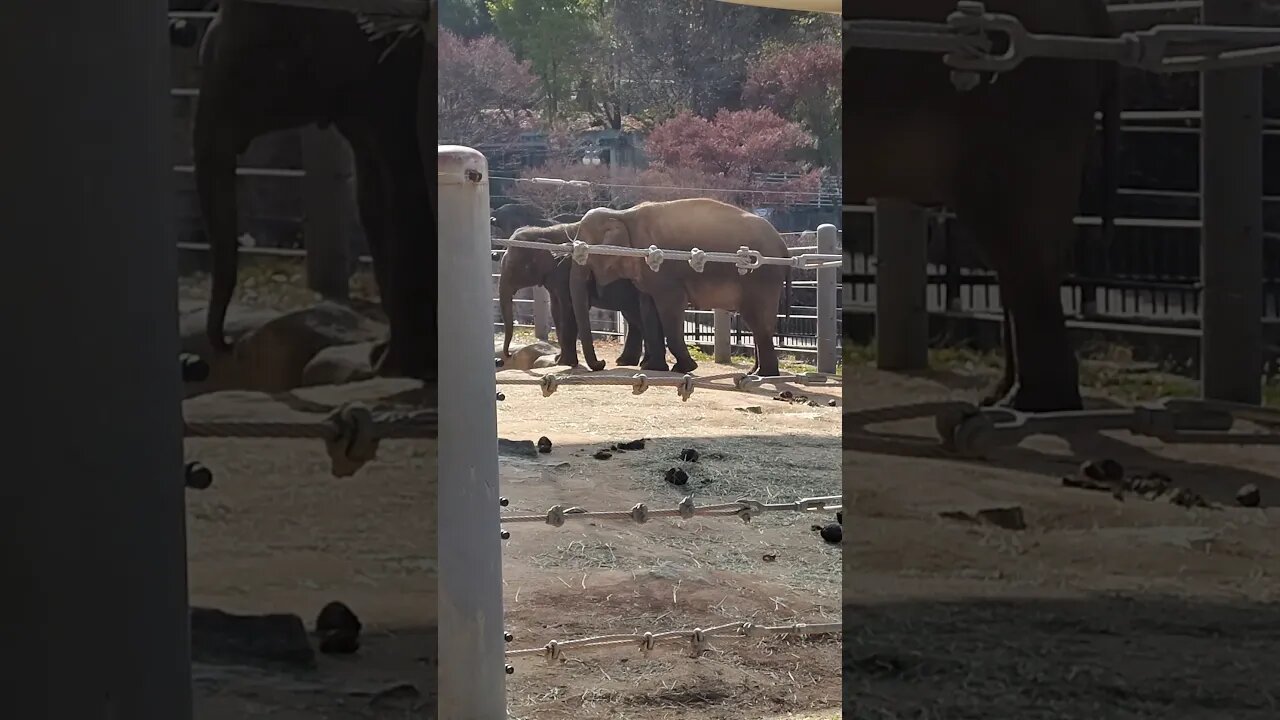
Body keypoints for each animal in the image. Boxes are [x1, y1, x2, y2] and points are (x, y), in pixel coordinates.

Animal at [192, 0, 434, 381]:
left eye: (259, 68)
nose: (229, 345)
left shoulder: (396, 82)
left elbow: (402, 187)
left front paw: (396, 368)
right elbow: (370, 198)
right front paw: (381, 362)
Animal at [498, 225, 671, 371]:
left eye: (512, 265)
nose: (507, 356)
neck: (544, 231)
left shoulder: (565, 271)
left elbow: (568, 308)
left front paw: (564, 363)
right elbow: (556, 310)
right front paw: (558, 361)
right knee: (634, 318)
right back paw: (628, 362)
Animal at [556, 198, 791, 377]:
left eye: (585, 254)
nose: (602, 363)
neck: (622, 215)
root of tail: (783, 245)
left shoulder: (666, 273)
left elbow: (671, 307)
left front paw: (684, 368)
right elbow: (649, 309)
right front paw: (655, 368)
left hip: (761, 277)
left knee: (758, 322)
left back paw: (765, 375)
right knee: (756, 323)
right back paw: (754, 372)